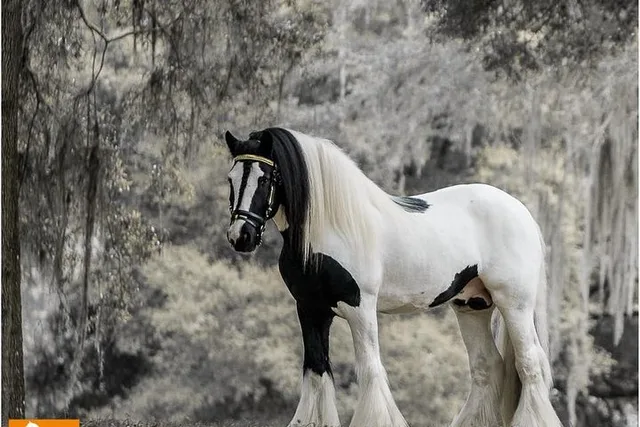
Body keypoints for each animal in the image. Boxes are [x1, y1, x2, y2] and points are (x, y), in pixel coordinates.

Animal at [223, 127, 563, 427]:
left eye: (266, 178)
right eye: (231, 178)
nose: (241, 237)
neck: (331, 229)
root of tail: (522, 212)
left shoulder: (360, 308)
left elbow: (370, 369)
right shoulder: (310, 309)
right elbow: (316, 372)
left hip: (514, 304)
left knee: (530, 363)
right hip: (472, 306)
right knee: (487, 367)